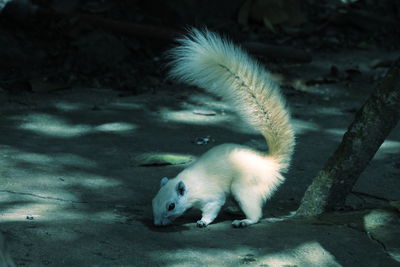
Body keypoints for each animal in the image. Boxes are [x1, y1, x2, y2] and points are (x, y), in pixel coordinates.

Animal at [152, 28, 296, 228]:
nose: (158, 223)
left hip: (243, 186)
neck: (191, 185)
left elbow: (213, 208)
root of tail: (270, 164)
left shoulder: (211, 196)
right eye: (153, 201)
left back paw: (244, 220)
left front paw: (202, 221)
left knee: (255, 211)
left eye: (171, 206)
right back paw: (234, 210)